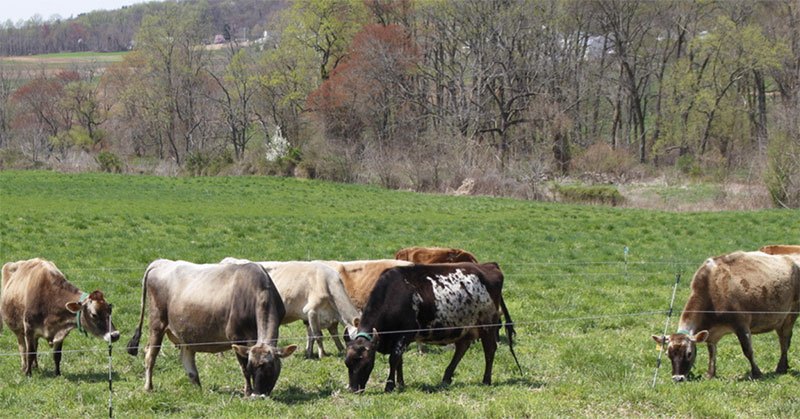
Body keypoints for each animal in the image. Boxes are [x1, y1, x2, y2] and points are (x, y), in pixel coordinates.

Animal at [128, 260, 296, 398]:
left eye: (269, 367)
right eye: (252, 367)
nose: (258, 396)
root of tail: (160, 262)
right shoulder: (237, 337)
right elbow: (243, 369)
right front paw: (247, 392)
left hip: (185, 332)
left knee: (186, 359)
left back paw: (198, 389)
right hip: (157, 324)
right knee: (150, 355)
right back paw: (148, 387)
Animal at [217, 260, 358, 358]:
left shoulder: (316, 317)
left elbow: (316, 335)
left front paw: (314, 353)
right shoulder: (311, 311)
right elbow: (318, 336)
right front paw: (322, 355)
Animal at [342, 262, 520, 394]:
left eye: (365, 363)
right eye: (347, 363)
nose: (353, 390)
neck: (394, 294)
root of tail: (489, 266)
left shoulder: (404, 335)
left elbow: (394, 359)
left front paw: (390, 386)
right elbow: (399, 361)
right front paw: (400, 383)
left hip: (487, 325)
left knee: (489, 351)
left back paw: (486, 380)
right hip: (464, 327)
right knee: (461, 348)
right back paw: (446, 378)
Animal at [648, 251, 800, 382]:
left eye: (689, 353)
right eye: (668, 354)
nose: (677, 378)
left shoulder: (741, 325)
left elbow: (748, 350)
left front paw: (757, 373)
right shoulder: (711, 333)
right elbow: (712, 352)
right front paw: (710, 374)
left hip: (792, 313)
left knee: (785, 340)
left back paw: (781, 367)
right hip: (780, 319)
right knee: (783, 339)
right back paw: (784, 366)